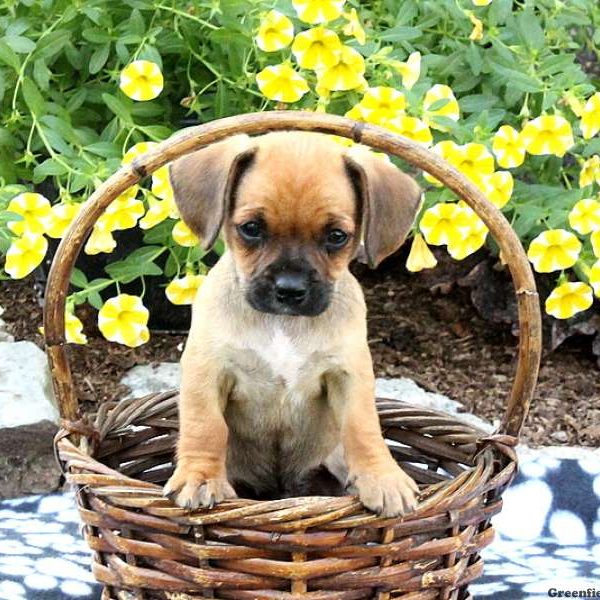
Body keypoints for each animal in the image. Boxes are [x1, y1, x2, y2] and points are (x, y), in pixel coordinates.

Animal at [162, 131, 420, 516]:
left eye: (337, 236)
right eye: (251, 229)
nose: (290, 289)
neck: (282, 325)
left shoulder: (350, 376)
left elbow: (363, 427)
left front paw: (382, 477)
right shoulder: (206, 372)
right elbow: (205, 425)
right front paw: (200, 476)